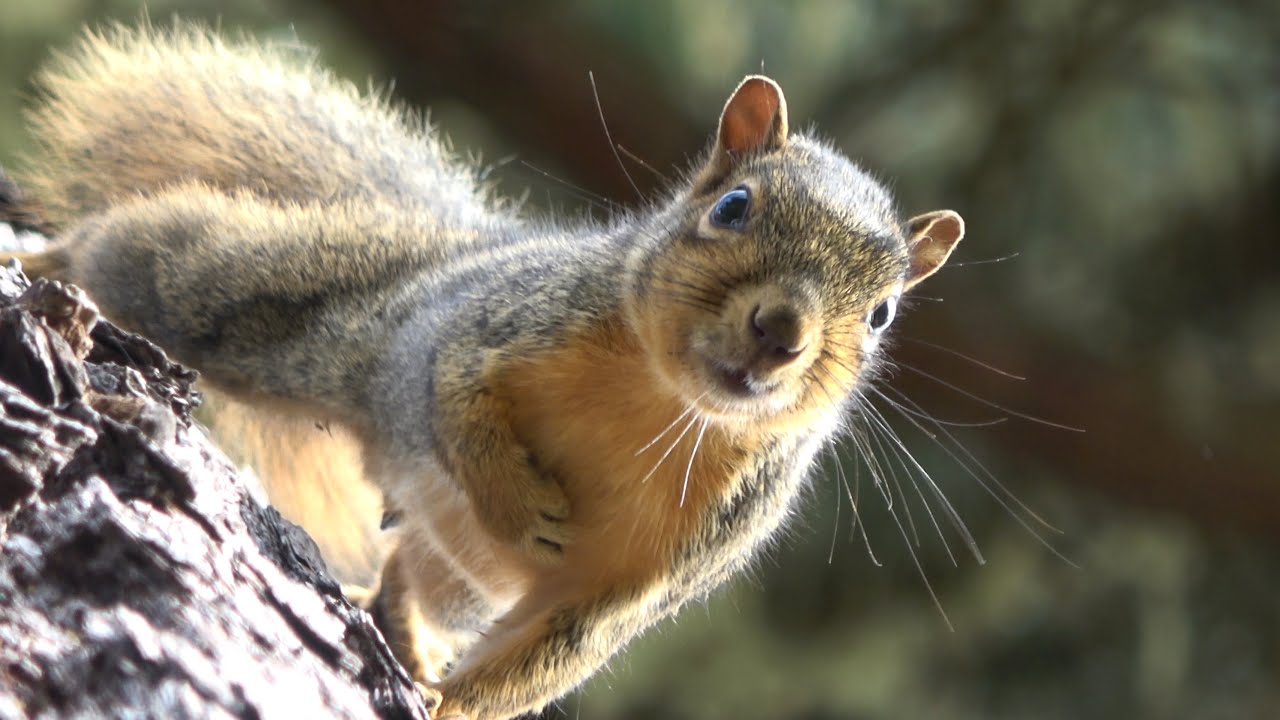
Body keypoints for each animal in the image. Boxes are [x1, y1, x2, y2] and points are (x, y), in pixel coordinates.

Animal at [3, 23, 965, 720]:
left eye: (881, 314)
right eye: (733, 206)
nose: (781, 331)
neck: (659, 404)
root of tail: (455, 244)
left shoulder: (647, 574)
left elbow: (555, 652)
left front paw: (444, 705)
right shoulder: (494, 325)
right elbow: (459, 398)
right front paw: (518, 503)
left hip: (452, 570)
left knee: (408, 573)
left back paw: (403, 632)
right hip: (271, 303)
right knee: (143, 255)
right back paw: (44, 253)